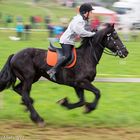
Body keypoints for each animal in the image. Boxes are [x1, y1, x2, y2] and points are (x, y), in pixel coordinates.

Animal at [0, 23, 129, 126]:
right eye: (115, 36)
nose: (125, 52)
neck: (87, 57)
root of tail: (14, 55)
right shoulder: (82, 82)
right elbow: (97, 92)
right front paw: (89, 108)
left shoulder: (77, 85)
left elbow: (81, 101)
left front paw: (65, 103)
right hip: (28, 78)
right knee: (25, 94)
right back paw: (38, 118)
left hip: (33, 77)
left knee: (19, 90)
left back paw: (28, 106)